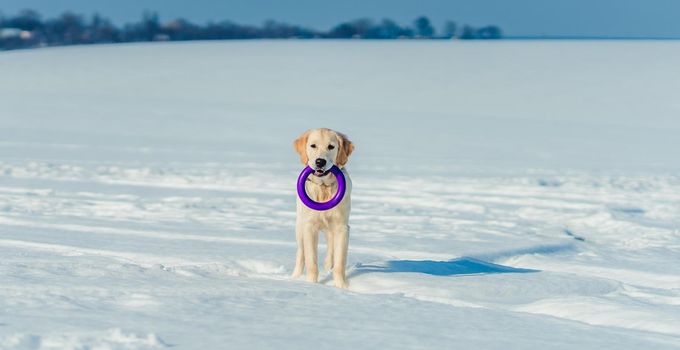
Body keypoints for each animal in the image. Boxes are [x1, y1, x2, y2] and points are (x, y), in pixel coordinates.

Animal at [290, 128, 356, 288]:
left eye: (331, 147)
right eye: (313, 146)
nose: (320, 161)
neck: (323, 187)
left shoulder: (342, 228)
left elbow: (339, 262)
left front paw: (342, 286)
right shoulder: (309, 227)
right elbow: (311, 261)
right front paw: (312, 284)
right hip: (299, 227)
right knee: (301, 254)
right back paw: (294, 277)